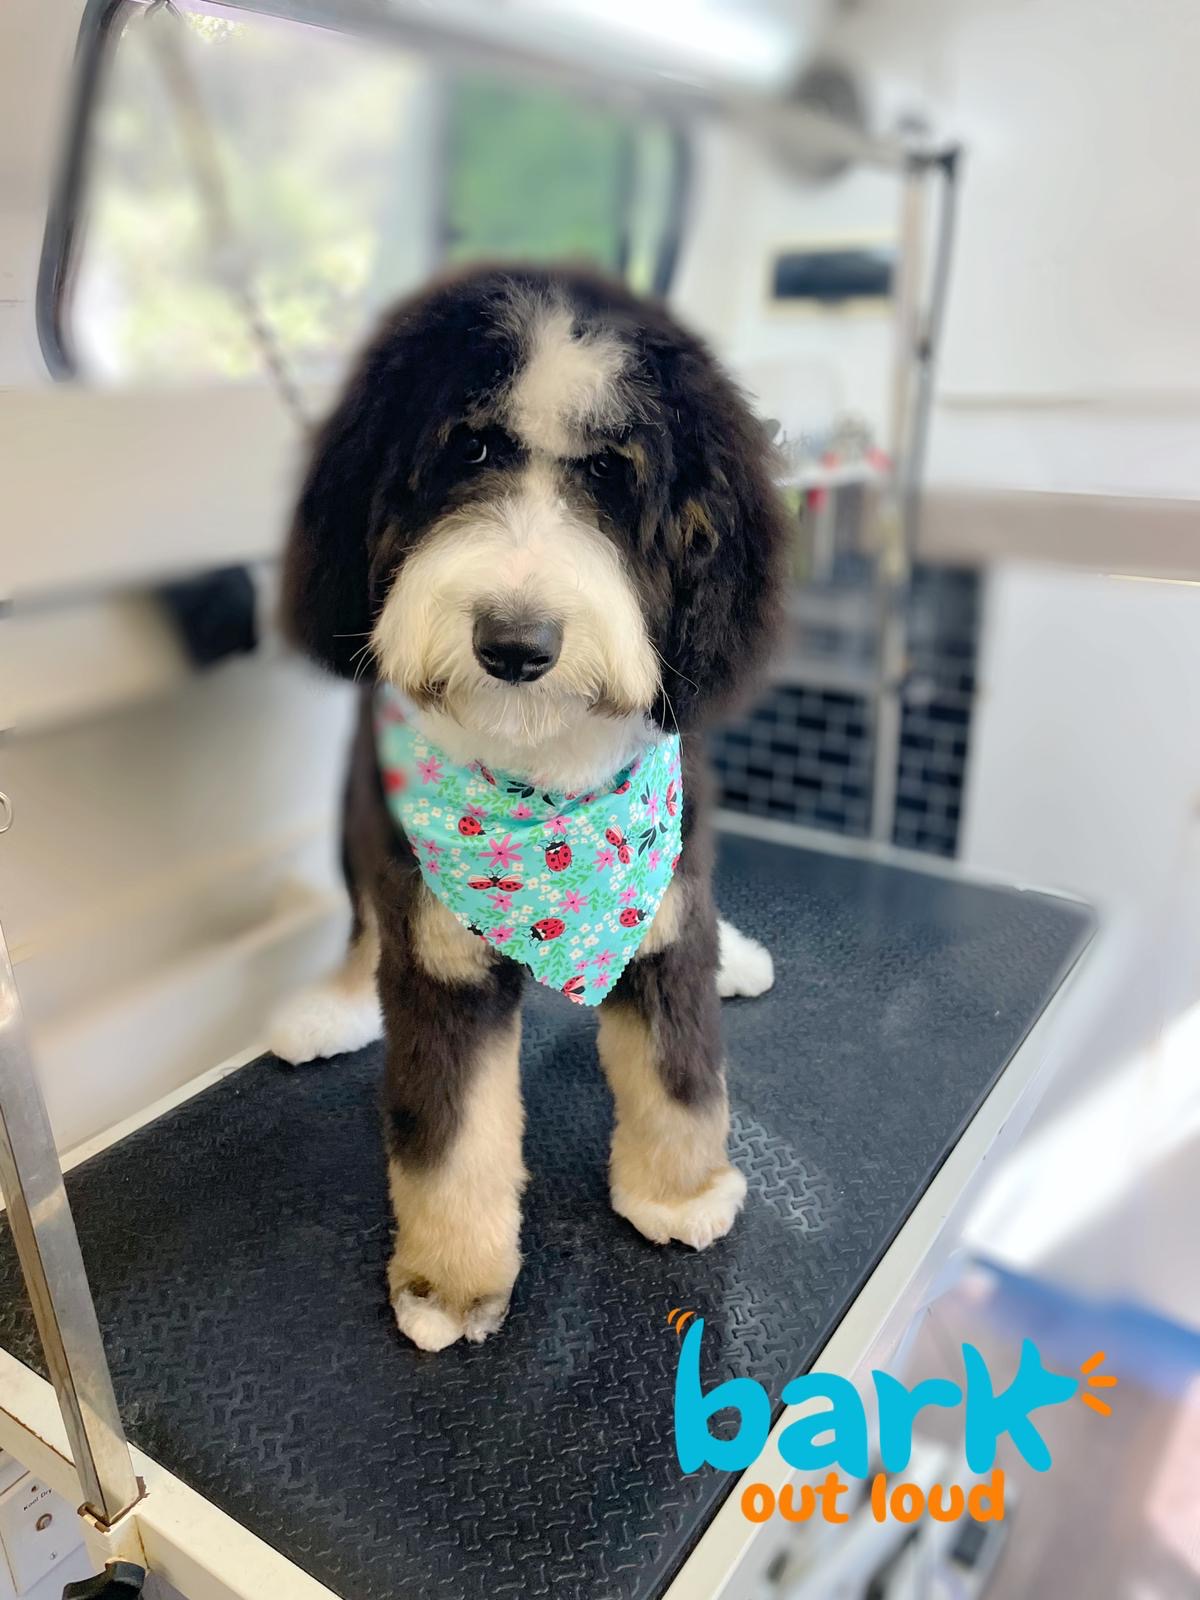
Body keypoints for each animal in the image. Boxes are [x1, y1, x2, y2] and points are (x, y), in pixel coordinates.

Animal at [268, 264, 787, 1351]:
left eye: (613, 474)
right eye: (466, 448)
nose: (515, 641)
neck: (538, 777)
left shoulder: (664, 910)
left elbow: (680, 1073)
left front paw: (680, 1194)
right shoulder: (439, 958)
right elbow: (453, 1132)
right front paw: (450, 1285)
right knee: (357, 923)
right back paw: (333, 1004)